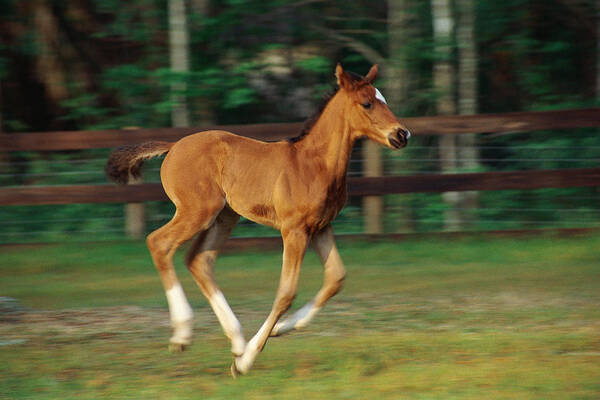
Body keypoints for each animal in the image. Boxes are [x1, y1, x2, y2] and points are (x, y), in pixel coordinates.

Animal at [105, 64, 410, 376]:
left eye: (383, 98)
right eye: (367, 103)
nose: (402, 134)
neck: (314, 164)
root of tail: (174, 144)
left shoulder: (321, 227)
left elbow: (335, 278)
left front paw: (278, 330)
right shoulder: (294, 231)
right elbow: (286, 292)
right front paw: (247, 361)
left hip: (225, 216)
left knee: (198, 260)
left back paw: (236, 340)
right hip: (197, 211)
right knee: (159, 243)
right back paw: (184, 335)